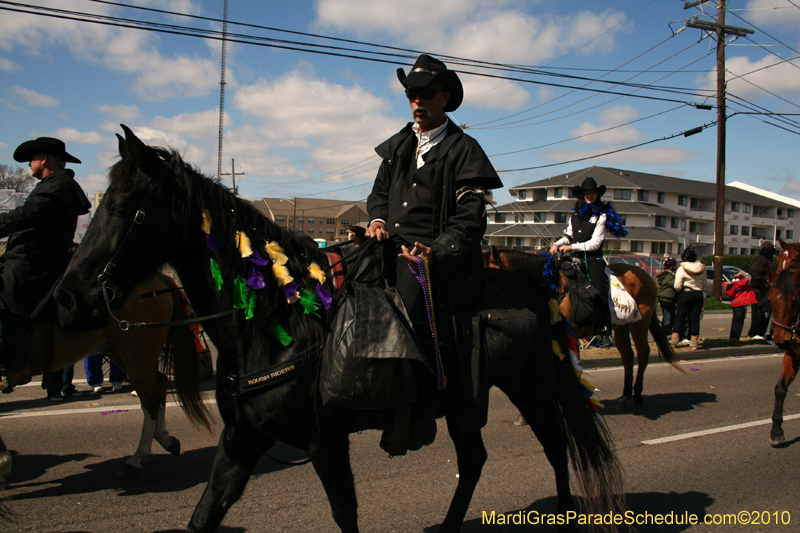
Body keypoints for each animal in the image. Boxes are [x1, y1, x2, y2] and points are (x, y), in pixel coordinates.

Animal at [0, 272, 206, 476]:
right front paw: (4, 463)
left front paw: (4, 463)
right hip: (121, 352)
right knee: (158, 384)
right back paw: (164, 439)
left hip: (136, 352)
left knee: (150, 399)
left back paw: (137, 458)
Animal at [56, 125, 624, 532]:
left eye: (127, 208)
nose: (66, 298)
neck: (278, 321)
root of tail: (530, 276)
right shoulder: (242, 439)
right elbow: (204, 513)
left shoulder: (323, 442)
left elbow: (344, 514)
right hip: (471, 404)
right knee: (477, 458)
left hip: (526, 387)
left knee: (554, 444)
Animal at [484, 246, 680, 408]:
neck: (553, 289)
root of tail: (648, 277)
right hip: (621, 327)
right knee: (628, 356)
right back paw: (625, 396)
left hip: (639, 323)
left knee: (643, 353)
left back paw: (637, 395)